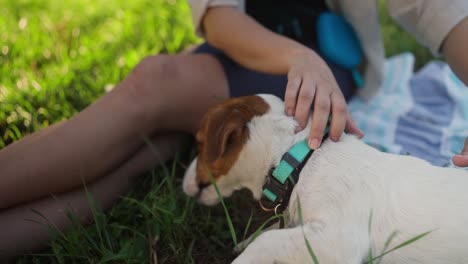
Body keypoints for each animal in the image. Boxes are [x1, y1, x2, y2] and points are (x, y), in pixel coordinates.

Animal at [184, 94, 468, 262]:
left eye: (199, 142)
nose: (183, 183)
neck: (298, 161)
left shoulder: (341, 238)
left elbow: (265, 240)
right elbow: (269, 232)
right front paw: (244, 242)